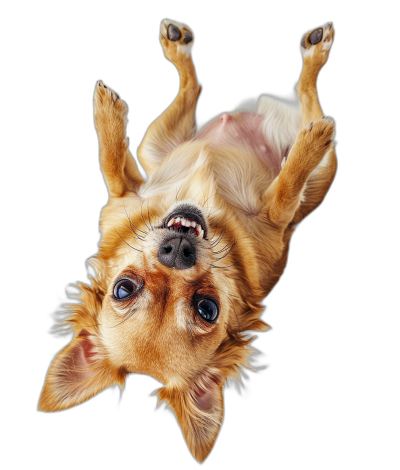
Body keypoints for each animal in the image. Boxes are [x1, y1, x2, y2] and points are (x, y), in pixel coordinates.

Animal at [38, 19, 338, 462]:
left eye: (207, 309)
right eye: (124, 288)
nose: (177, 250)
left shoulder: (129, 193)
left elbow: (110, 164)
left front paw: (104, 112)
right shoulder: (129, 196)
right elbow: (286, 187)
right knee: (280, 99)